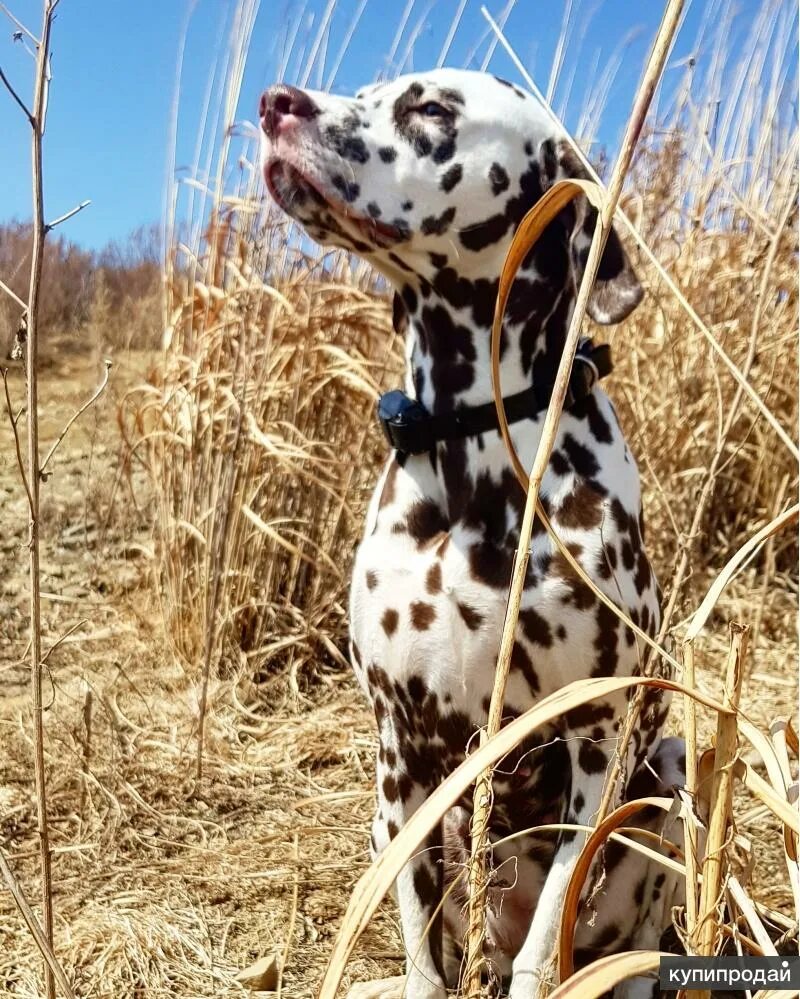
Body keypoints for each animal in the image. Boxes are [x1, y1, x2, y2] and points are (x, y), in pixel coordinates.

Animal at [260, 66, 684, 996]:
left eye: (430, 109)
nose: (275, 104)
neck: (471, 449)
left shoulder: (597, 743)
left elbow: (537, 953)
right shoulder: (402, 758)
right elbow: (423, 953)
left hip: (670, 784)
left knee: (640, 948)